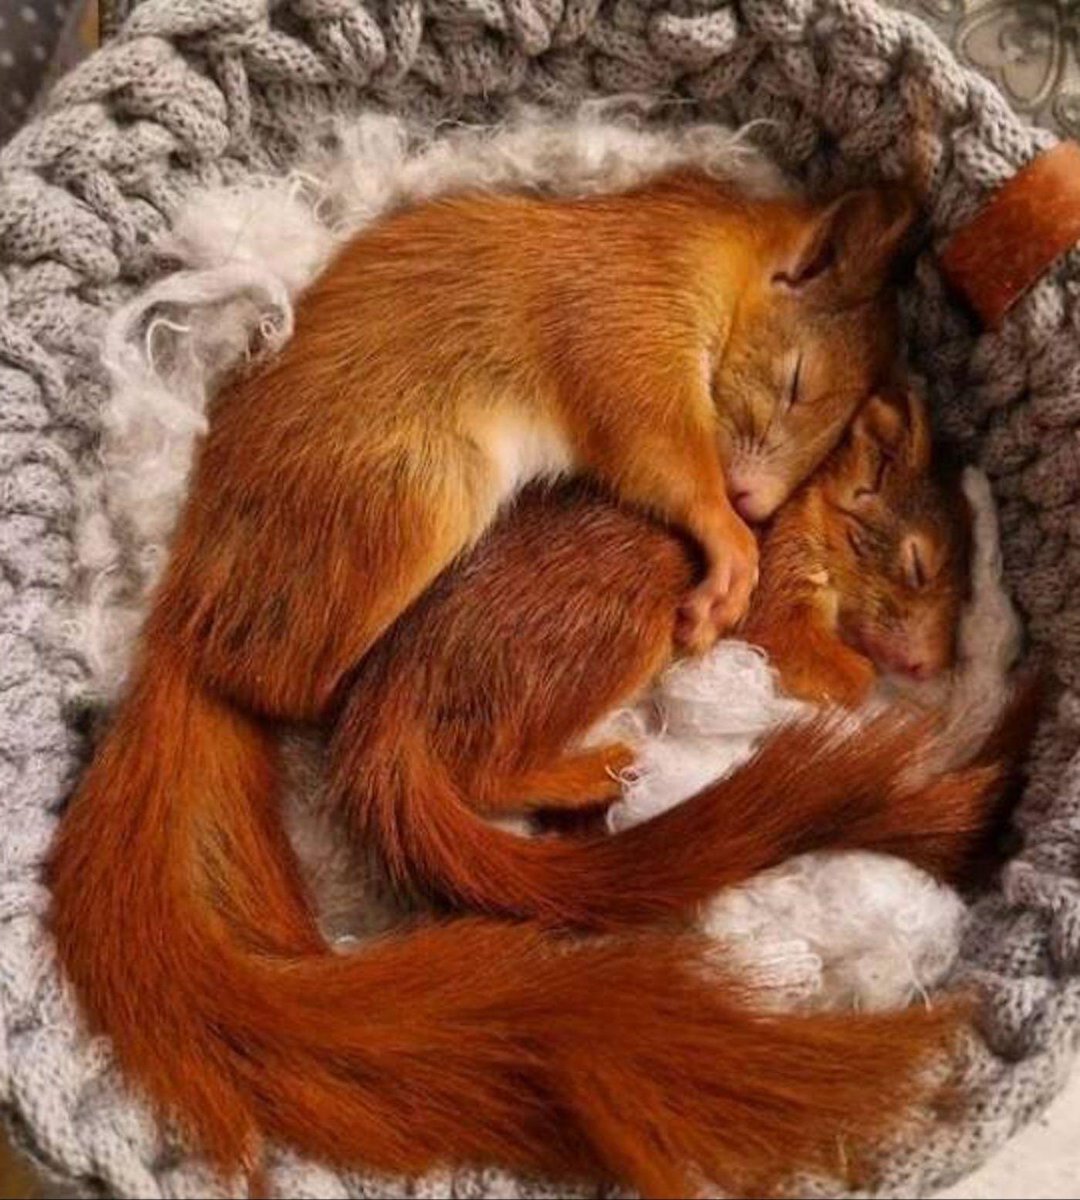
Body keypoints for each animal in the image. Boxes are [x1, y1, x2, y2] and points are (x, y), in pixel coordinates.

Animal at [50, 379, 1027, 1195]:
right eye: (917, 562)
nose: (929, 665)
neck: (806, 508)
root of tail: (387, 724)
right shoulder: (775, 594)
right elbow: (808, 653)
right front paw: (876, 690)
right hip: (613, 627)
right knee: (486, 768)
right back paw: (594, 771)